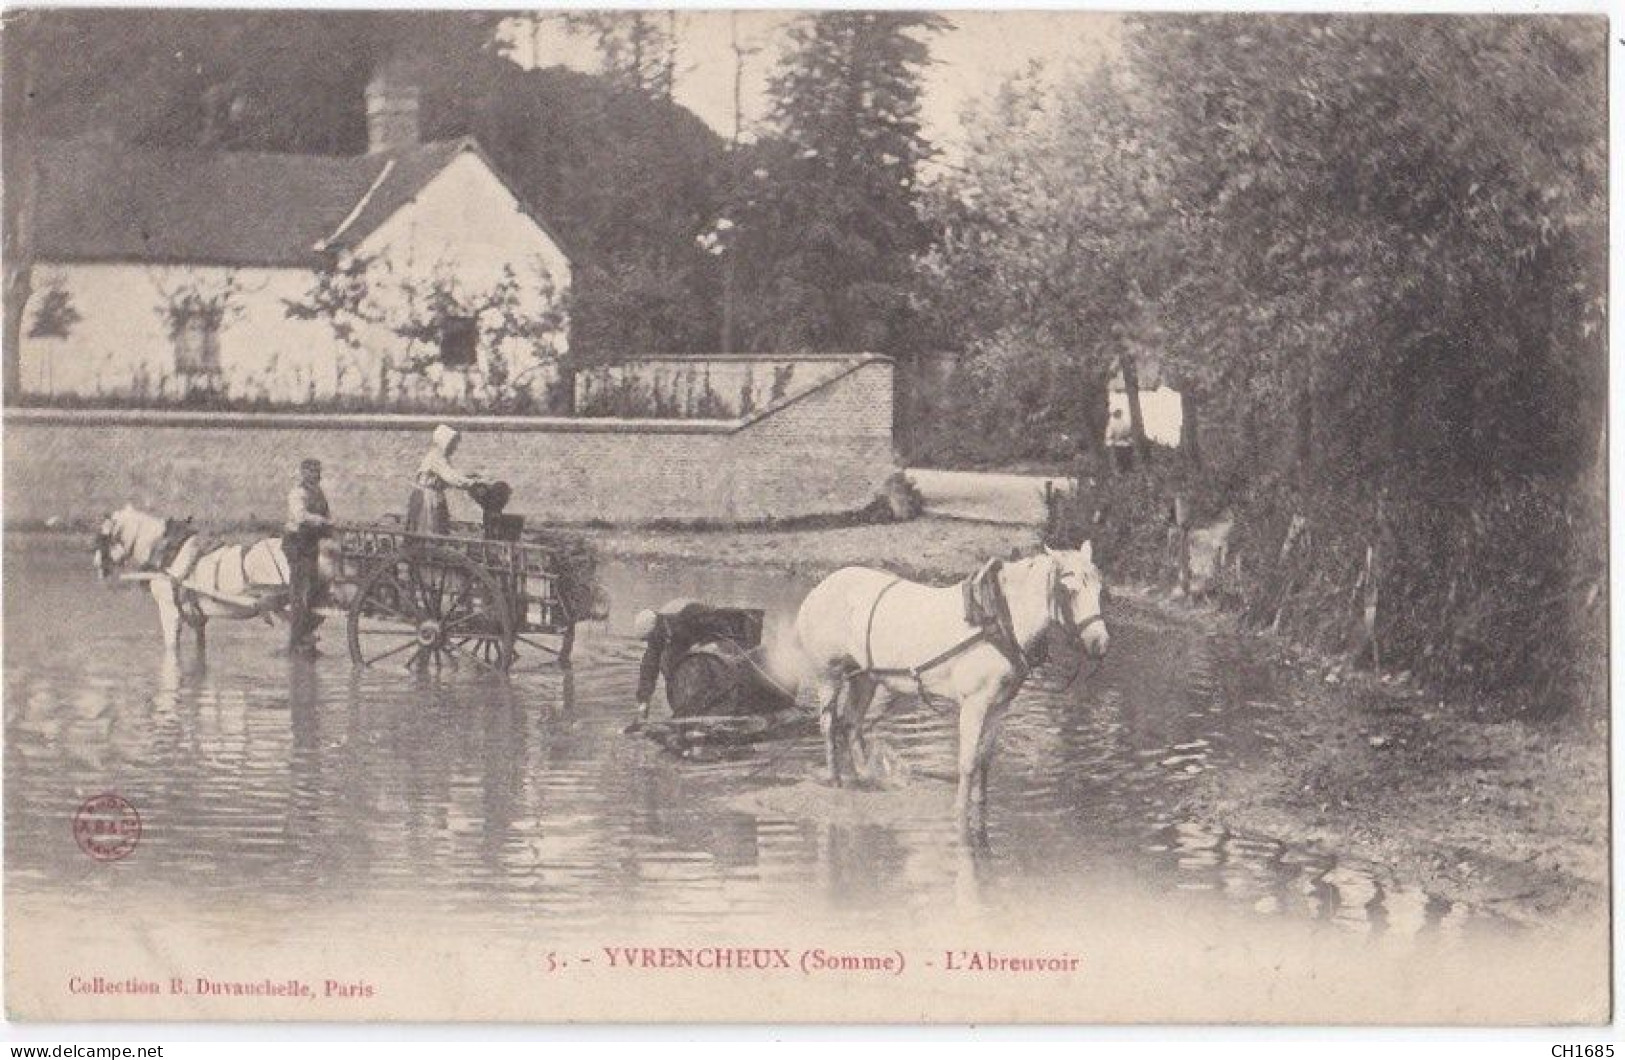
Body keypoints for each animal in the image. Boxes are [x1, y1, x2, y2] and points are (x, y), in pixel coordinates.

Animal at [92, 503, 339, 653]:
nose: (97, 566)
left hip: (288, 606)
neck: (168, 552)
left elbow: (171, 648)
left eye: (103, 537)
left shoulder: (169, 612)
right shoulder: (198, 618)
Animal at [793, 546, 1111, 838]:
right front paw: (960, 814)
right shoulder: (974, 704)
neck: (997, 620)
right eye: (1068, 590)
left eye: (1099, 588)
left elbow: (985, 759)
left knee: (852, 725)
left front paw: (982, 806)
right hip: (829, 675)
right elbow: (967, 762)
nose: (1100, 643)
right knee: (829, 726)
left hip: (865, 678)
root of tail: (823, 585)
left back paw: (865, 780)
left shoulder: (1000, 705)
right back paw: (836, 781)